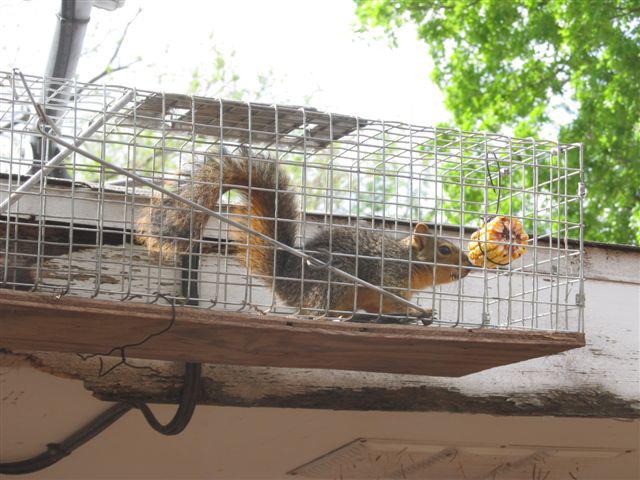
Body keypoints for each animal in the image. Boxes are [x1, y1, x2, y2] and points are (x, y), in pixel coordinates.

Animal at [138, 150, 472, 322]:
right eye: (444, 250)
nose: (470, 265)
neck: (409, 263)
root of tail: (287, 281)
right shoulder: (388, 278)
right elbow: (392, 304)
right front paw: (421, 311)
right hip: (335, 278)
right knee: (317, 311)